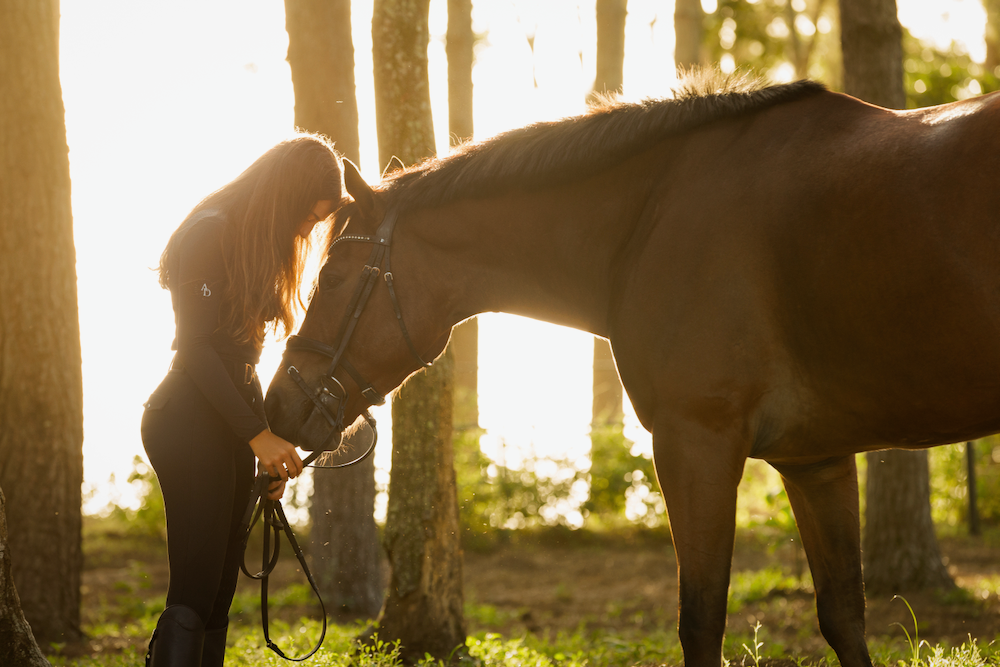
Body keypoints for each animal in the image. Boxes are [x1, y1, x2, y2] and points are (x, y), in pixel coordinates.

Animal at [264, 71, 1000, 667]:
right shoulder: (816, 460)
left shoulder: (695, 444)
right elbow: (844, 616)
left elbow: (702, 623)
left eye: (333, 275)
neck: (652, 215)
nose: (278, 404)